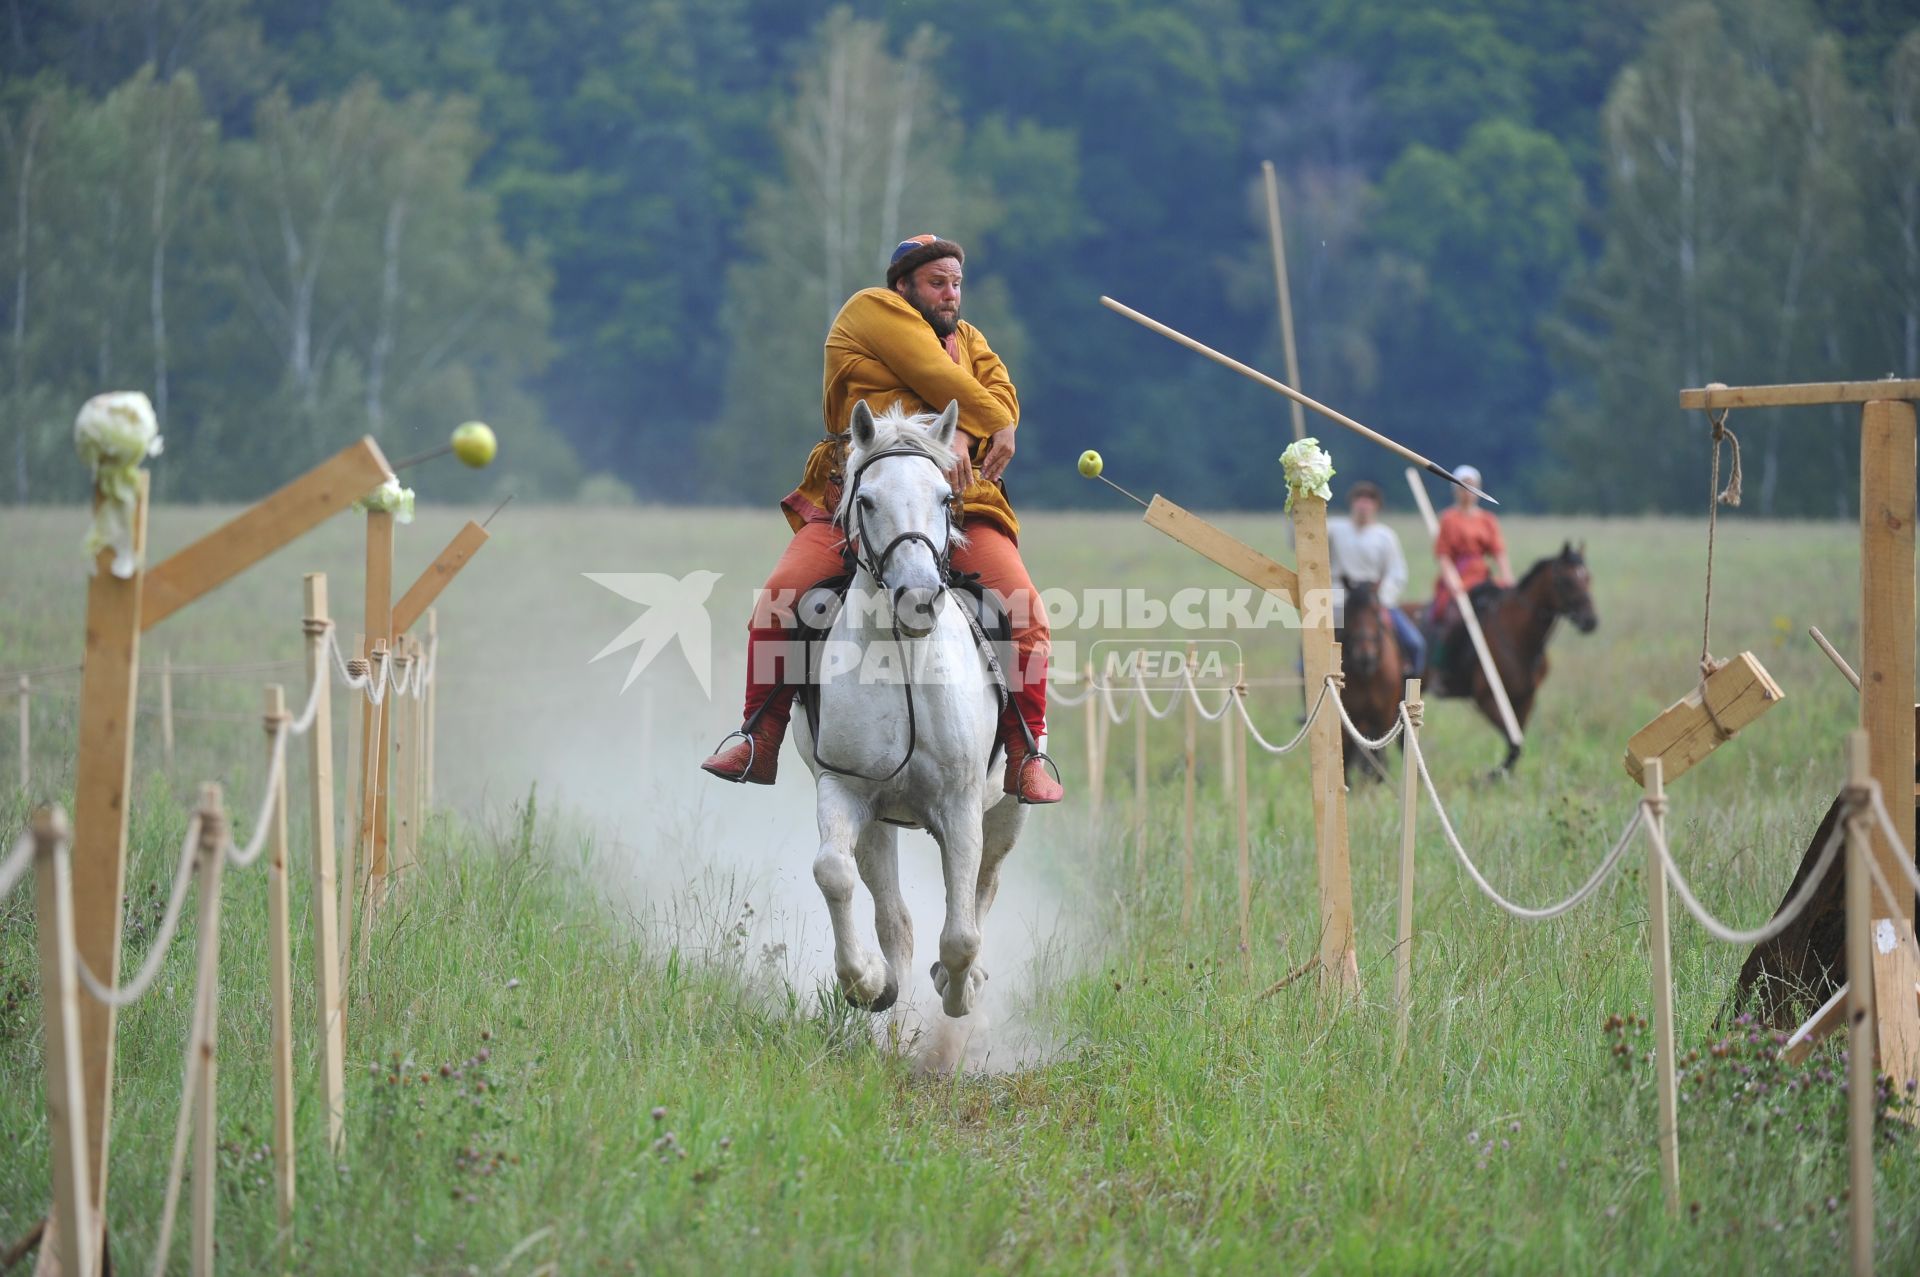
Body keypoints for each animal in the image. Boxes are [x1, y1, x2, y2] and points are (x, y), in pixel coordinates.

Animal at [794, 403, 1036, 1021]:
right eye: (866, 499)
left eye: (946, 498)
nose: (919, 598)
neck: (902, 659)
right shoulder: (845, 789)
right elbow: (832, 872)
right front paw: (867, 982)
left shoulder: (962, 804)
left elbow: (962, 933)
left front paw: (959, 989)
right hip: (881, 822)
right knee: (894, 918)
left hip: (1008, 810)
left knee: (983, 887)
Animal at [1336, 576, 1413, 775]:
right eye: (1349, 610)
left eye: (1376, 610)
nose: (1365, 656)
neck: (1367, 677)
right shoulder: (1349, 719)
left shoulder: (1383, 717)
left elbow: (1380, 760)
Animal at [1405, 541, 1597, 771]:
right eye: (1566, 580)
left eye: (1588, 578)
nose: (1590, 620)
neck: (1518, 637)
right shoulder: (1487, 699)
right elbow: (1514, 744)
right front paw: (1488, 776)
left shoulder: (1525, 699)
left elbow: (1516, 746)